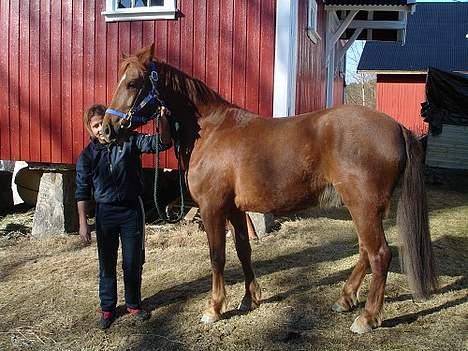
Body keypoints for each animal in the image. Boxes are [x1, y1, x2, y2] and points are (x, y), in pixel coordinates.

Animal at [102, 45, 438, 334]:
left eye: (133, 83)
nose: (106, 129)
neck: (212, 129)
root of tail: (396, 126)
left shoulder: (212, 208)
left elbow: (217, 256)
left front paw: (214, 308)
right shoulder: (235, 209)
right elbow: (244, 250)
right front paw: (249, 299)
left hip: (364, 207)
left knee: (379, 254)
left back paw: (366, 318)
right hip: (364, 208)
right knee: (365, 252)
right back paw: (344, 299)